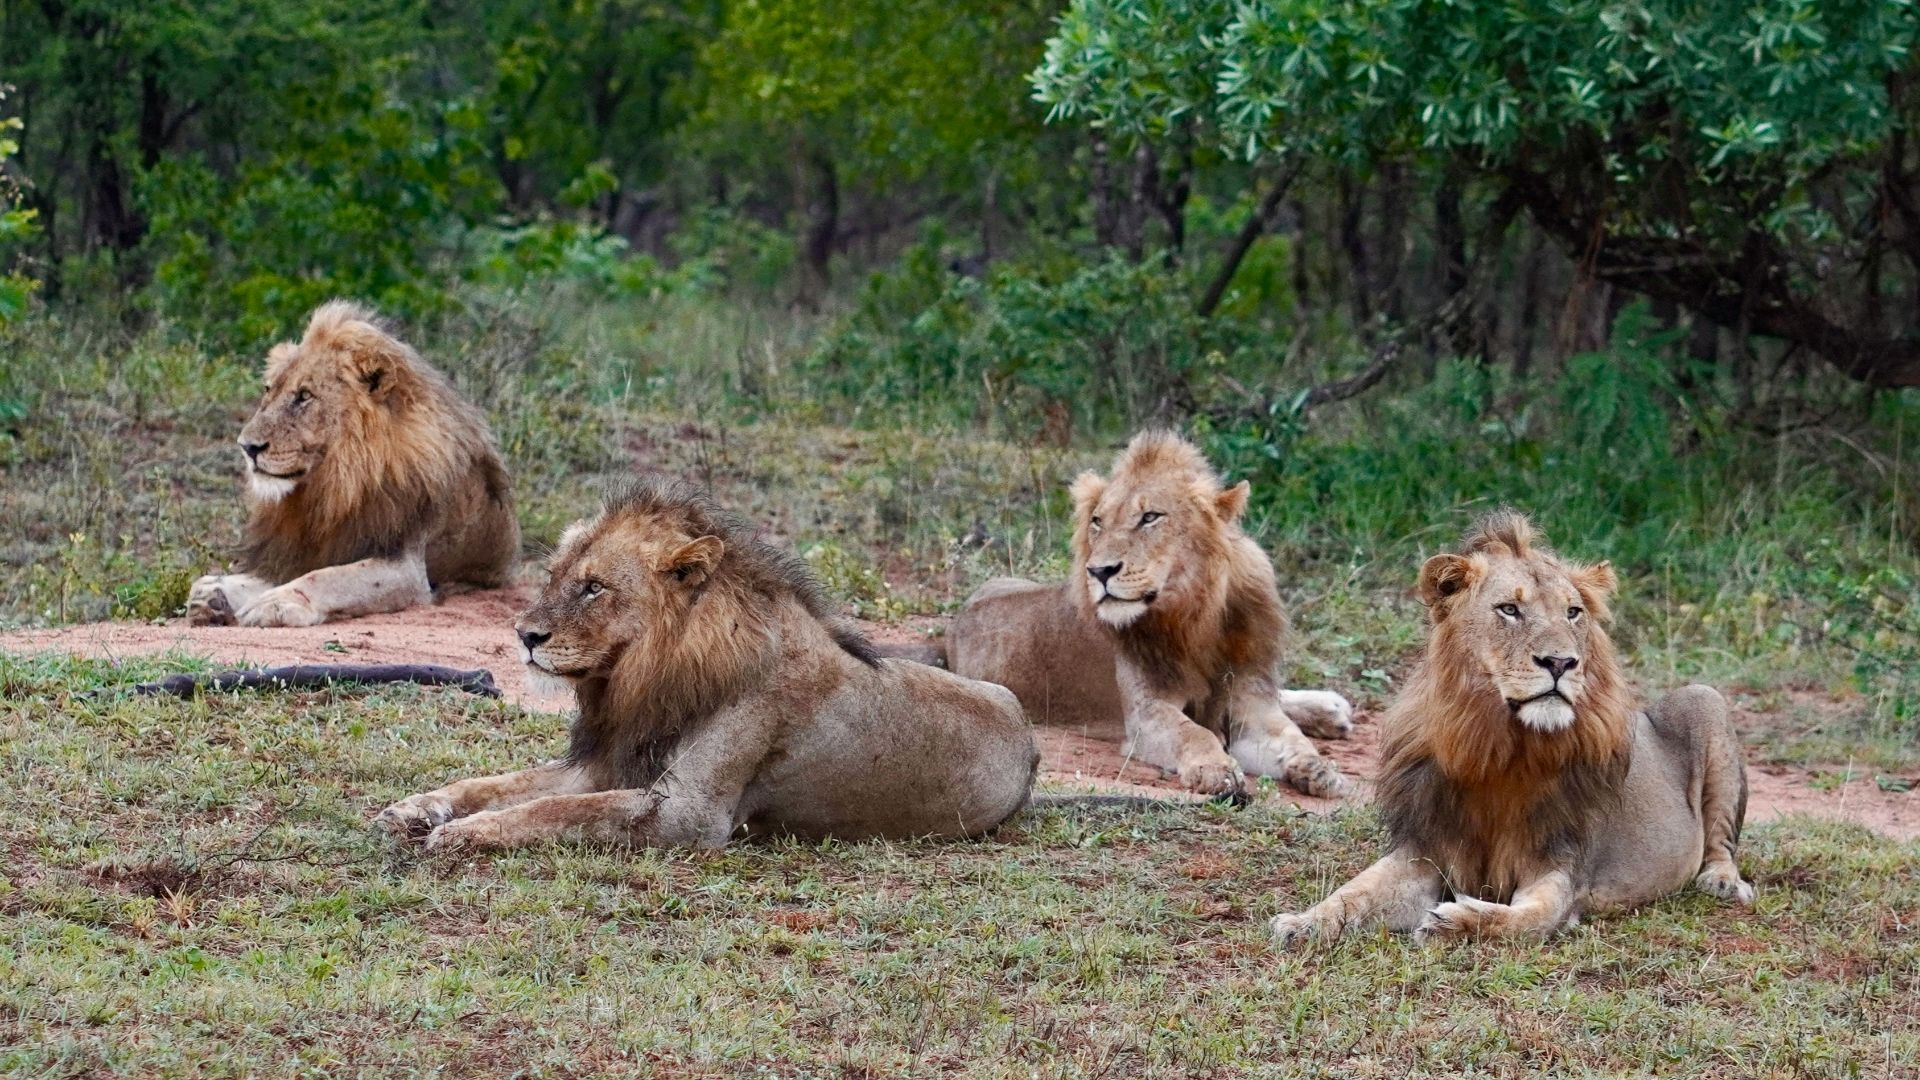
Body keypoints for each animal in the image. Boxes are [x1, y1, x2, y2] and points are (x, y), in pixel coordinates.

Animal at [186, 301, 518, 628]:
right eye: (269, 390)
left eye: (304, 396)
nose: (247, 447)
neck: (334, 484)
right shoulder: (305, 549)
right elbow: (272, 575)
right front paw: (215, 592)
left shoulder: (406, 566)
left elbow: (328, 577)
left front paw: (276, 603)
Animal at [376, 479, 1038, 851]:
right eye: (555, 577)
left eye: (594, 588)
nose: (524, 635)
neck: (643, 681)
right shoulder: (607, 764)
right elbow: (498, 784)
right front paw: (413, 809)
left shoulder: (689, 816)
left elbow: (556, 810)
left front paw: (465, 833)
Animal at [946, 431, 1354, 800]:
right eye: (1097, 521)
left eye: (1150, 517)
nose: (1099, 571)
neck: (1196, 617)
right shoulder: (1146, 712)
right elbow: (1194, 731)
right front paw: (1216, 769)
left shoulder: (1251, 700)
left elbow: (1289, 736)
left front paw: (1320, 770)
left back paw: (1330, 710)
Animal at [1270, 511, 1754, 946]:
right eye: (1509, 609)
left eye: (1573, 612)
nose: (1560, 662)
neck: (1504, 748)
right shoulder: (1424, 851)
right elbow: (1355, 892)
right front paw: (1303, 923)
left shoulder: (1562, 874)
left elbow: (1520, 920)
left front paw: (1453, 921)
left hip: (1704, 699)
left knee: (1722, 841)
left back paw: (1722, 881)